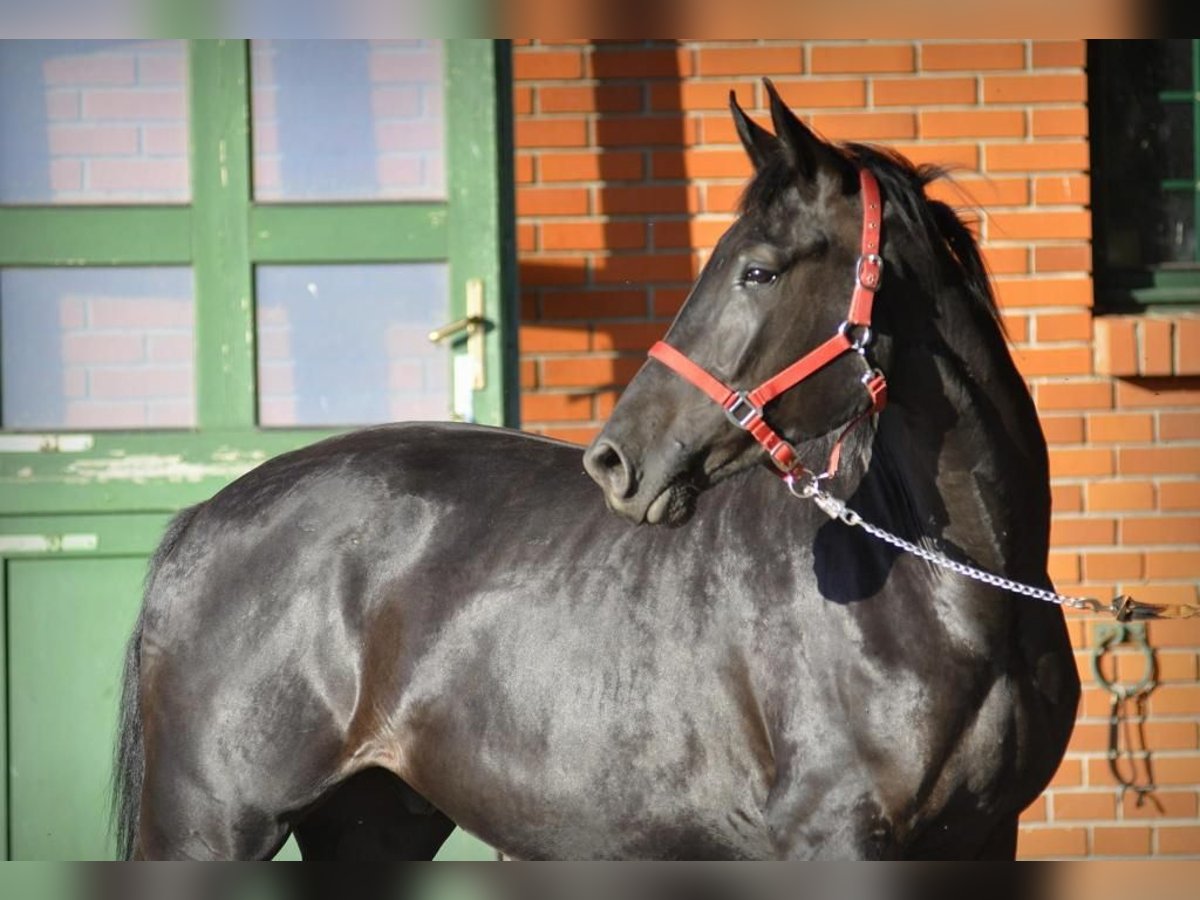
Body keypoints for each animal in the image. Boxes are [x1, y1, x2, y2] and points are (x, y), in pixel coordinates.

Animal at [114, 86, 1080, 868]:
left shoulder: (985, 840)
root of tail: (201, 518)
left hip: (373, 822)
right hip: (211, 828)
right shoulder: (834, 839)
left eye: (759, 270)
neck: (946, 600)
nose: (614, 461)